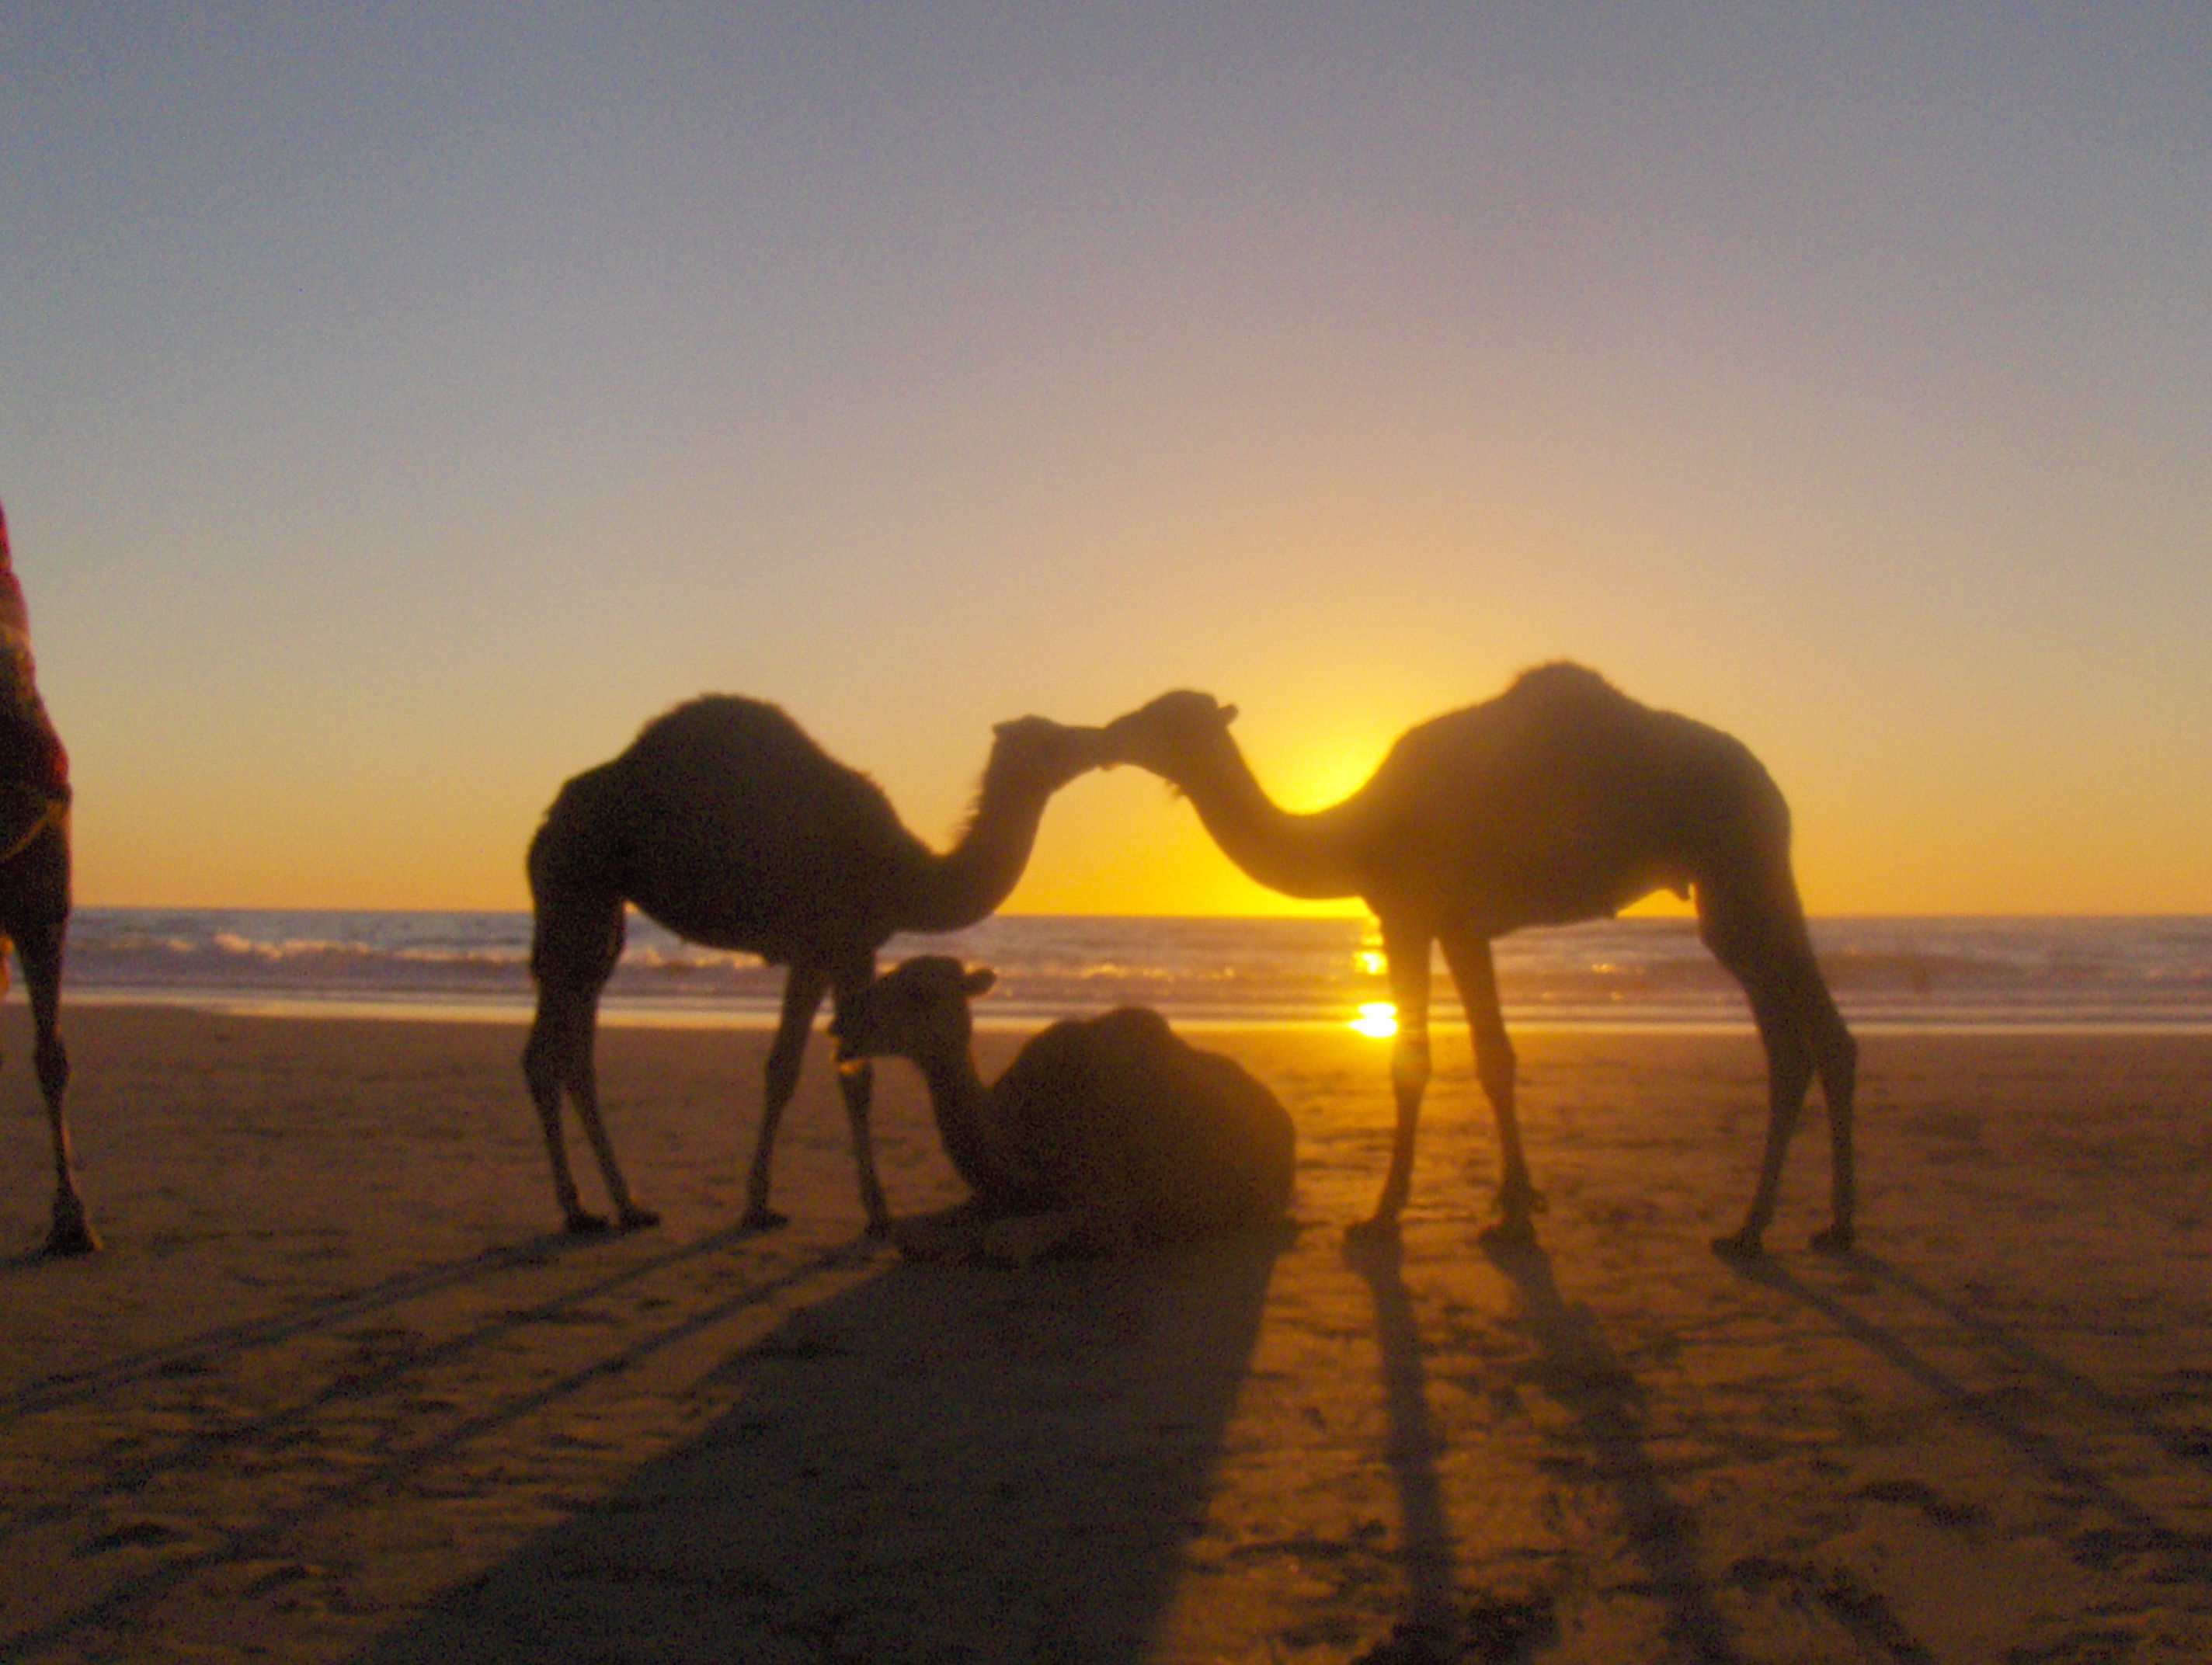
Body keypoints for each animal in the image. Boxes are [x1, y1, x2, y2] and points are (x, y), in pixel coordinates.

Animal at [517, 698, 1106, 1238]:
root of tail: (547, 822)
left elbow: (797, 1068)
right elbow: (839, 1074)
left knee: (568, 1050)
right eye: (1051, 742)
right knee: (555, 1055)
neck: (904, 872)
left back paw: (615, 1206)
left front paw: (768, 1203)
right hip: (576, 891)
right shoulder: (842, 944)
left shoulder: (820, 953)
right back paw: (592, 1208)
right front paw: (870, 1212)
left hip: (598, 912)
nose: (1100, 741)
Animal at [827, 946, 1292, 1256]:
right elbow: (909, 1233)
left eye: (921, 992)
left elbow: (1006, 1240)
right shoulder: (993, 1196)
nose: (843, 1019)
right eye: (888, 973)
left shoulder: (1109, 1208)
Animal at [1101, 654, 1849, 1256]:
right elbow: (1495, 1059)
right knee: (1793, 1041)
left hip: (1743, 863)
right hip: (1734, 887)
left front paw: (1380, 1217)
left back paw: (1817, 1227)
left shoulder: (1407, 914)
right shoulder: (1462, 927)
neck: (1355, 832)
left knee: (1817, 1035)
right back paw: (1763, 1226)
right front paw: (1515, 1212)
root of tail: (1770, 787)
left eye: (1165, 718)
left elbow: (1411, 1064)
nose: (1107, 736)